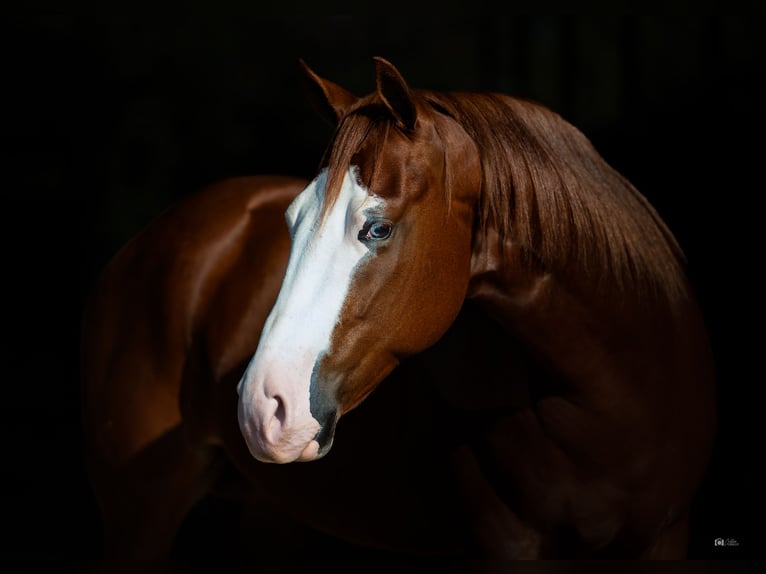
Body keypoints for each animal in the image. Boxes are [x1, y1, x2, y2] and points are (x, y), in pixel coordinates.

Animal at [80, 57, 716, 559]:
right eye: (291, 221)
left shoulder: (664, 538)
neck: (610, 399)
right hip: (141, 516)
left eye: (378, 228)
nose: (263, 407)